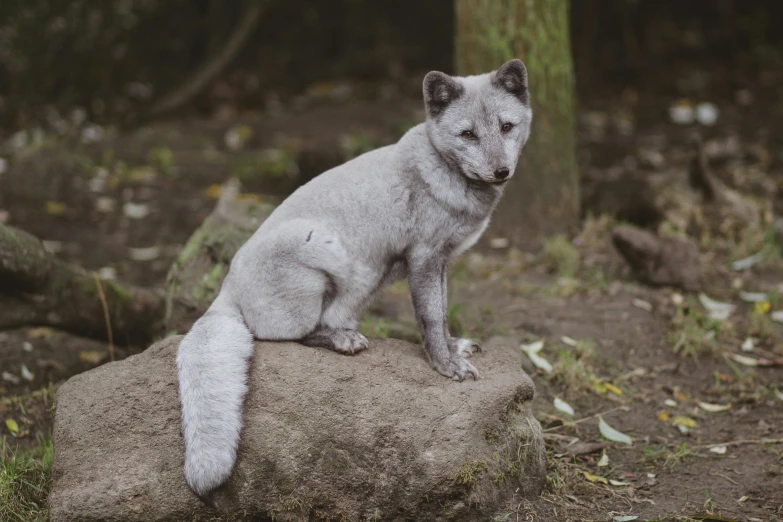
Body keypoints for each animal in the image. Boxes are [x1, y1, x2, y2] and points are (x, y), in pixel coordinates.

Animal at [177, 59, 532, 498]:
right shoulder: (424, 258)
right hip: (329, 254)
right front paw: (445, 365)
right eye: (468, 134)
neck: (440, 170)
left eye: (506, 126)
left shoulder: (442, 262)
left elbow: (443, 312)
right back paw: (341, 339)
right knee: (284, 335)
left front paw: (453, 347)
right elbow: (430, 317)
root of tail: (225, 288)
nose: (501, 171)